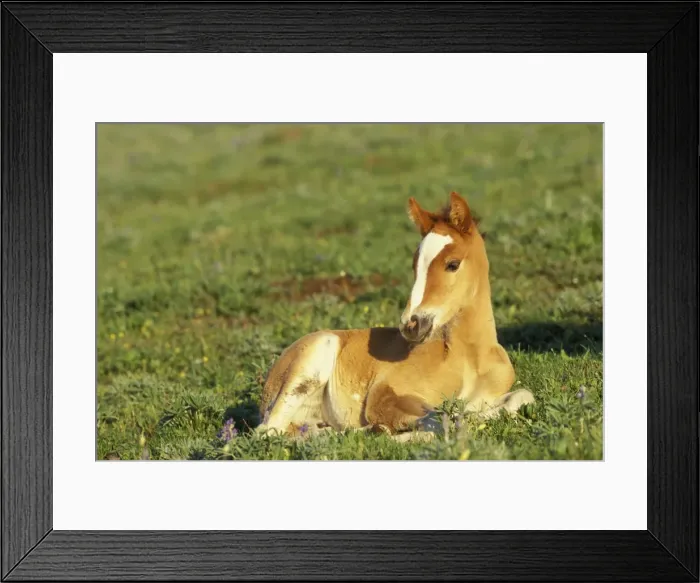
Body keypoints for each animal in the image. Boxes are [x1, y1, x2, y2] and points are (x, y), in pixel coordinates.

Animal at [256, 191, 534, 438]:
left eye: (452, 264)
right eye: (414, 265)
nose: (411, 325)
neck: (470, 360)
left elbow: (519, 397)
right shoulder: (384, 395)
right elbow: (440, 419)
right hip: (314, 358)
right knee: (267, 430)